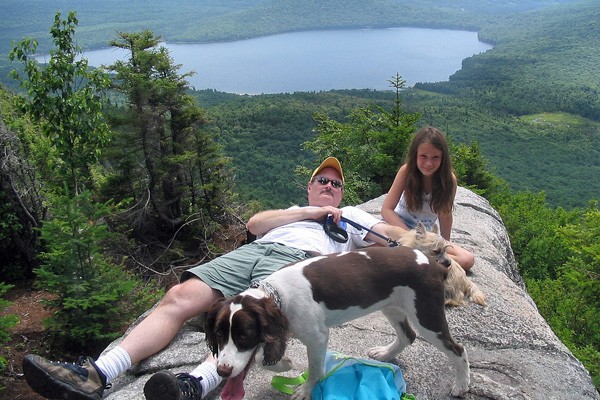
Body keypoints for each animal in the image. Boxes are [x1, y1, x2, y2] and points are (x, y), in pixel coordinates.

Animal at [204, 245, 472, 398]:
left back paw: (461, 385)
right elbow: (262, 357)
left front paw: (305, 389)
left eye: (244, 336)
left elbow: (315, 369)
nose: (222, 371)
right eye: (219, 335)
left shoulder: (318, 337)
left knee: (458, 348)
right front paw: (284, 364)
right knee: (408, 335)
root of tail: (435, 263)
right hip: (393, 306)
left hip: (426, 315)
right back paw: (384, 355)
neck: (278, 294)